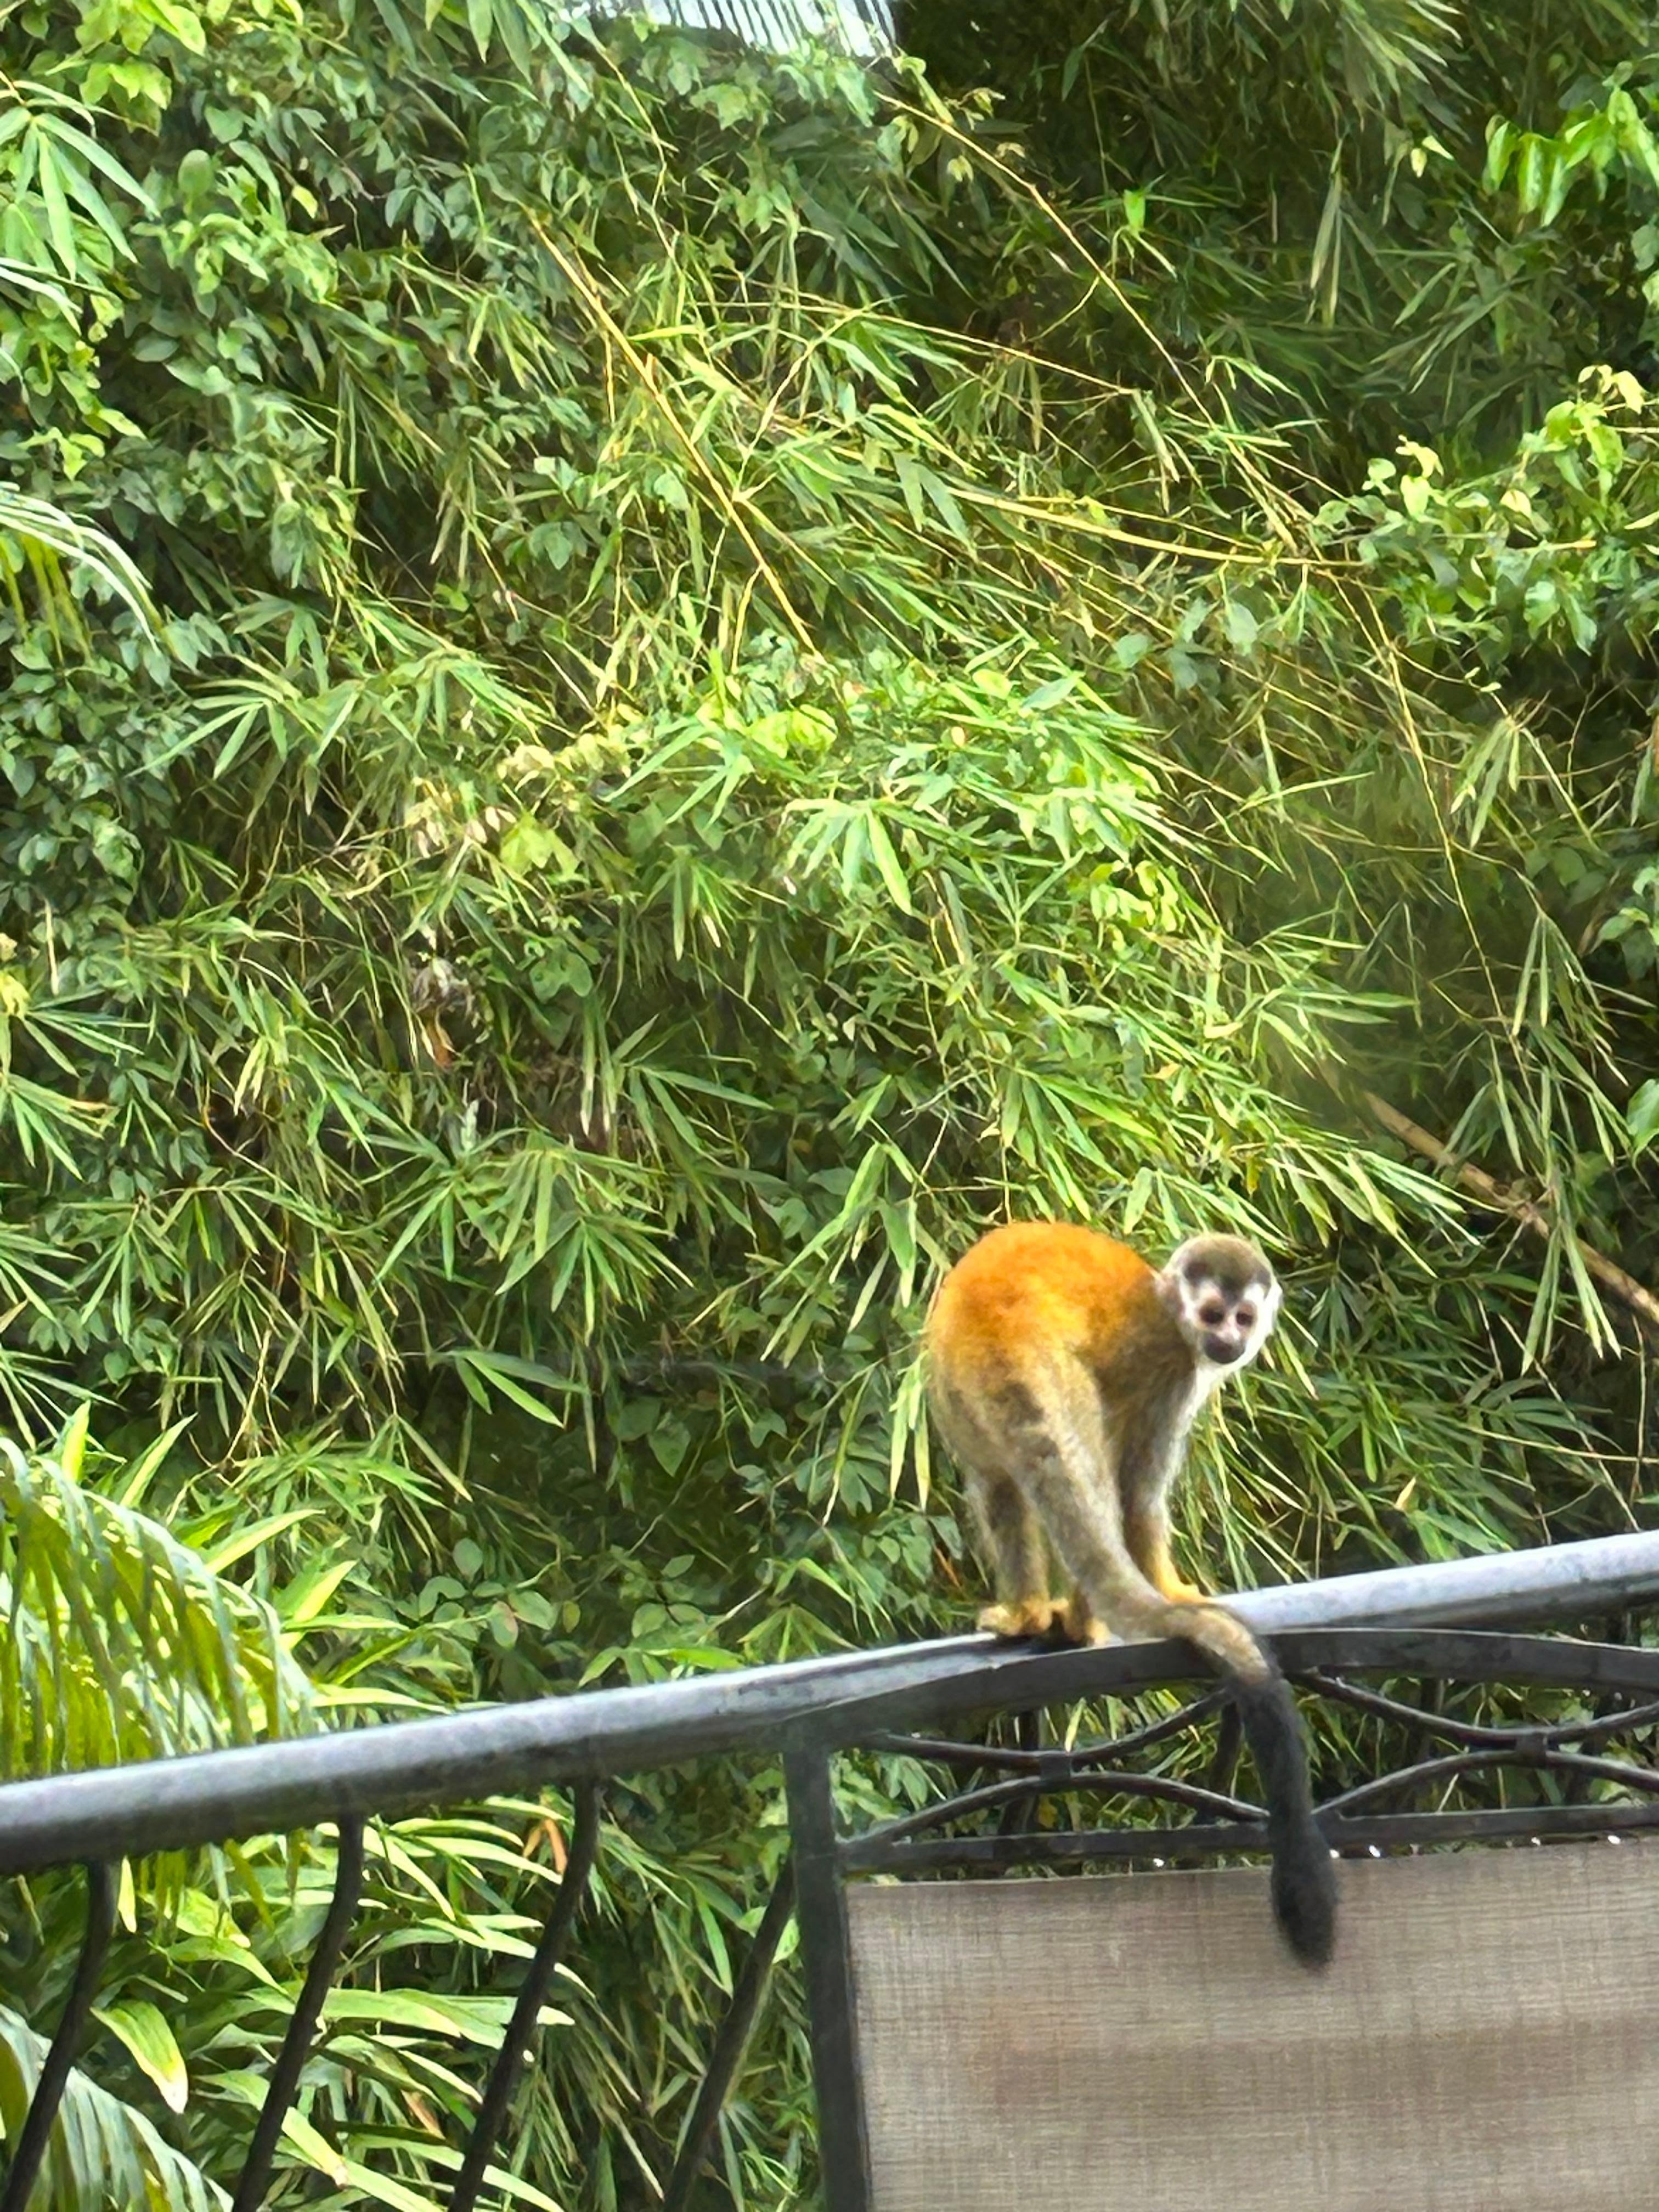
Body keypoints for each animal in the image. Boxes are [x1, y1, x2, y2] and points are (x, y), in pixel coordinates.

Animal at [924, 1219, 1336, 1968]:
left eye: (1243, 1318)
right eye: (1214, 1315)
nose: (1229, 1343)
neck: (1170, 1309)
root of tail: (995, 1318)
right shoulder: (1169, 1366)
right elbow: (1134, 1494)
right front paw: (1172, 1590)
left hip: (950, 1386)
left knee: (999, 1482)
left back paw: (1026, 1614)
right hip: (1058, 1380)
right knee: (1090, 1475)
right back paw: (1080, 1619)